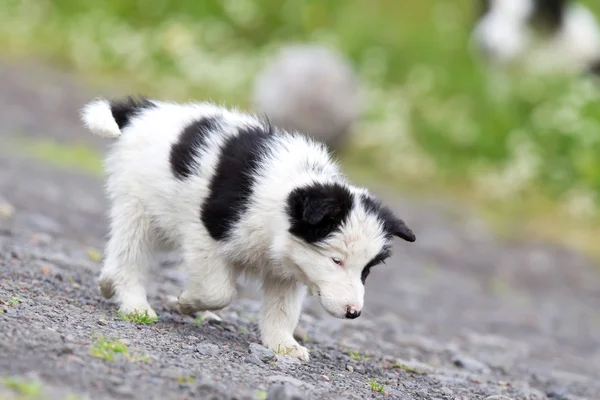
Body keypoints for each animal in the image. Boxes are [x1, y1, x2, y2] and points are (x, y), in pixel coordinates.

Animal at [81, 96, 418, 360]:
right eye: (336, 260)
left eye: (366, 270)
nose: (353, 313)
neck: (284, 198)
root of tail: (142, 112)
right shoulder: (206, 235)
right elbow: (219, 291)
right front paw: (187, 303)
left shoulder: (290, 269)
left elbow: (283, 310)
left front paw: (283, 345)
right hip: (140, 209)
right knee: (130, 255)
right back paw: (135, 304)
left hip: (162, 220)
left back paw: (108, 284)